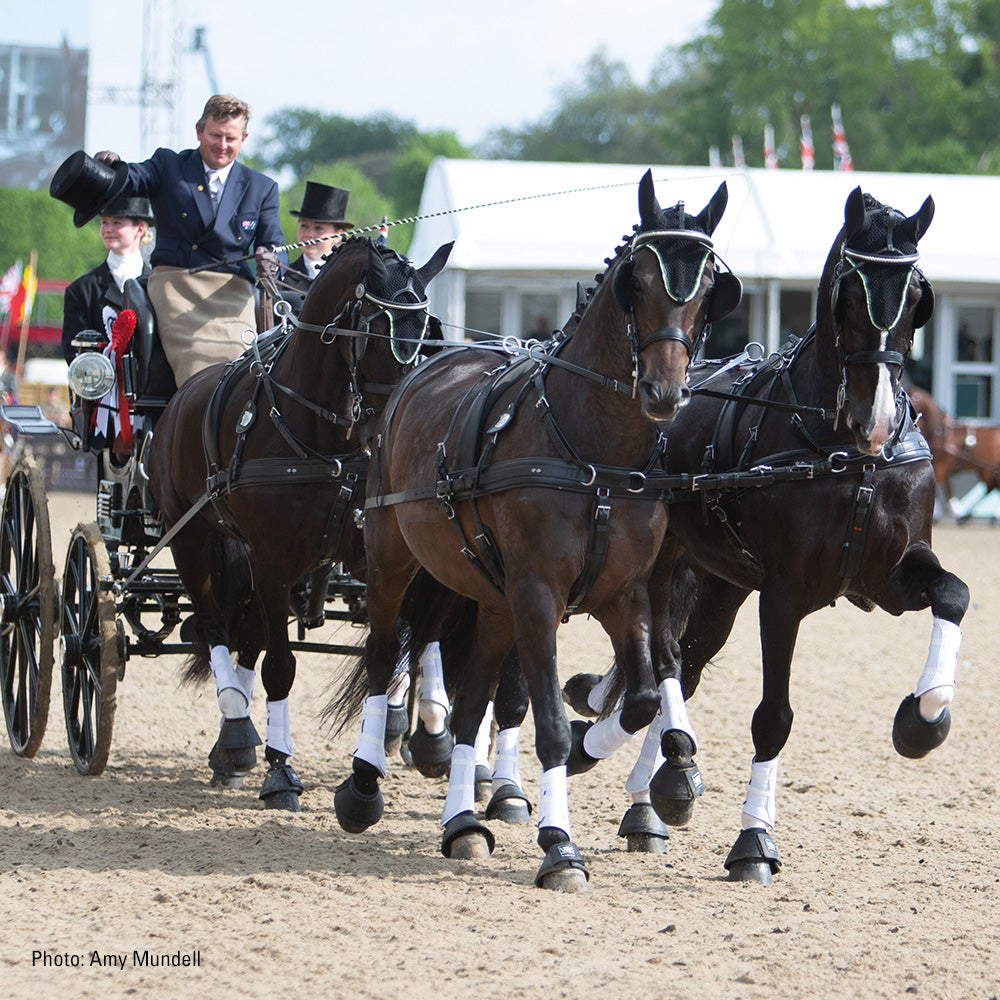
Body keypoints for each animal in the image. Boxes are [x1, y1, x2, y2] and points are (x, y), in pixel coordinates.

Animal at [145, 235, 453, 809]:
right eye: (374, 327)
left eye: (427, 330)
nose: (403, 420)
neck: (316, 431)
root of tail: (181, 397)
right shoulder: (272, 561)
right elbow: (281, 666)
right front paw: (281, 772)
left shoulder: (363, 554)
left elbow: (405, 640)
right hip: (191, 538)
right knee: (217, 627)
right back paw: (237, 733)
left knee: (247, 635)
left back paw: (233, 744)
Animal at [326, 170, 743, 891]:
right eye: (637, 279)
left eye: (710, 283)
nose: (664, 392)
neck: (594, 453)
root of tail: (419, 376)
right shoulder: (540, 595)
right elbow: (545, 717)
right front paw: (560, 844)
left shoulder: (623, 594)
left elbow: (637, 698)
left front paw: (587, 752)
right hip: (392, 561)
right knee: (383, 658)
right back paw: (364, 785)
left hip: (492, 597)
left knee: (470, 703)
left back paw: (463, 824)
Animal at [566, 186, 970, 882]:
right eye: (847, 292)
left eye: (917, 293)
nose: (875, 419)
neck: (843, 453)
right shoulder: (783, 594)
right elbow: (772, 719)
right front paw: (754, 841)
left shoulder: (891, 574)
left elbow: (954, 594)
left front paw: (923, 720)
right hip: (665, 566)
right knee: (666, 659)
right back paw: (622, 759)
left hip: (723, 584)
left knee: (686, 664)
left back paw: (653, 795)